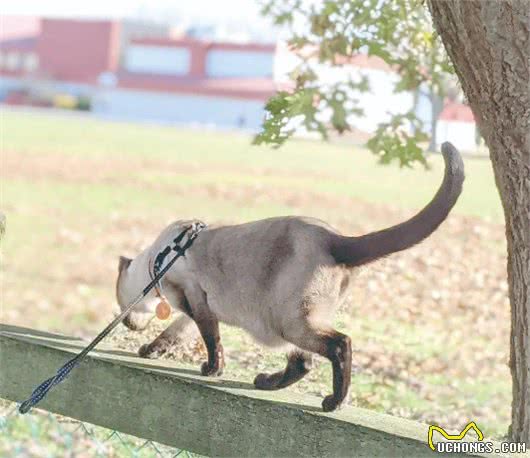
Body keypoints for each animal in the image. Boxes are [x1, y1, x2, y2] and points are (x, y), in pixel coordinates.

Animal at [114, 141, 462, 410]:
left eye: (120, 306)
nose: (127, 323)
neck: (157, 260)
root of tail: (335, 238)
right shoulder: (197, 309)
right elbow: (177, 334)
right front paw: (151, 351)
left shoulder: (194, 300)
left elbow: (212, 342)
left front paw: (210, 370)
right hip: (291, 322)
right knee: (303, 362)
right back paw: (266, 383)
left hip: (289, 322)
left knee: (340, 345)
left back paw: (333, 403)